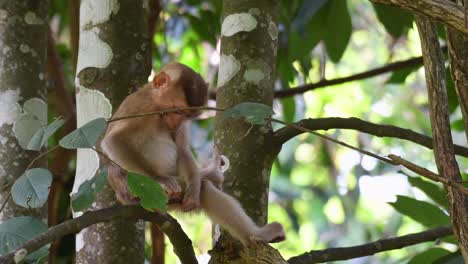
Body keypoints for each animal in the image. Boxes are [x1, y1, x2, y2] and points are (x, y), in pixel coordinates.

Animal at [101, 62, 286, 245]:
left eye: (186, 116)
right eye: (176, 110)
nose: (175, 123)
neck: (155, 102)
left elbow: (182, 149)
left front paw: (194, 190)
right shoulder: (141, 106)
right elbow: (113, 141)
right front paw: (160, 179)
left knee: (205, 189)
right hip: (146, 197)